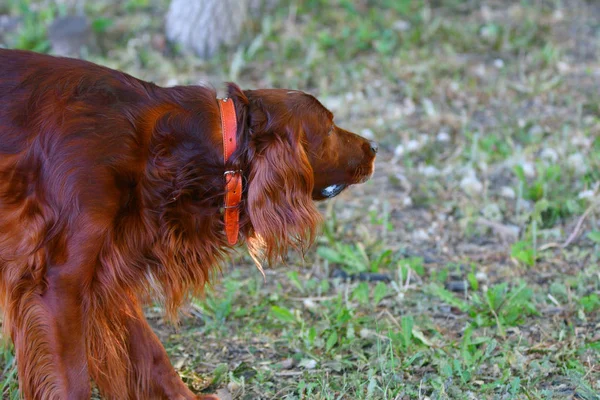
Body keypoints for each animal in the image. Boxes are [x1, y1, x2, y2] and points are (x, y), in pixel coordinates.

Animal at [0, 50, 376, 400]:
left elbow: (150, 353)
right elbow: (73, 380)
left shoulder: (104, 276)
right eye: (329, 127)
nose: (374, 146)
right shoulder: (58, 286)